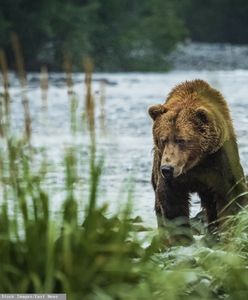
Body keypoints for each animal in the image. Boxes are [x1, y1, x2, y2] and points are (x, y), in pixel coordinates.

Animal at [148, 79, 247, 232]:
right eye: (163, 139)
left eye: (181, 140)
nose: (167, 168)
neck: (195, 163)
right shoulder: (168, 173)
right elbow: (172, 202)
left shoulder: (218, 160)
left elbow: (231, 195)